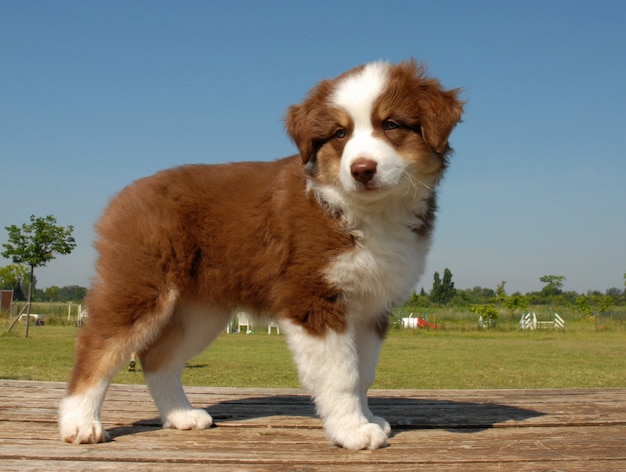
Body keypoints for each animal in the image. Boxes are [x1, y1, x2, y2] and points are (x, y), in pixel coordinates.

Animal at [58, 60, 460, 450]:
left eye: (391, 125)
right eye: (339, 134)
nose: (361, 170)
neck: (368, 212)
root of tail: (125, 194)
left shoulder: (370, 307)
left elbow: (364, 373)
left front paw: (368, 418)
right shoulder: (312, 299)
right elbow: (342, 374)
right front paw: (353, 431)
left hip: (200, 309)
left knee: (157, 357)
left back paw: (181, 416)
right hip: (141, 284)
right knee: (98, 348)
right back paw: (80, 424)